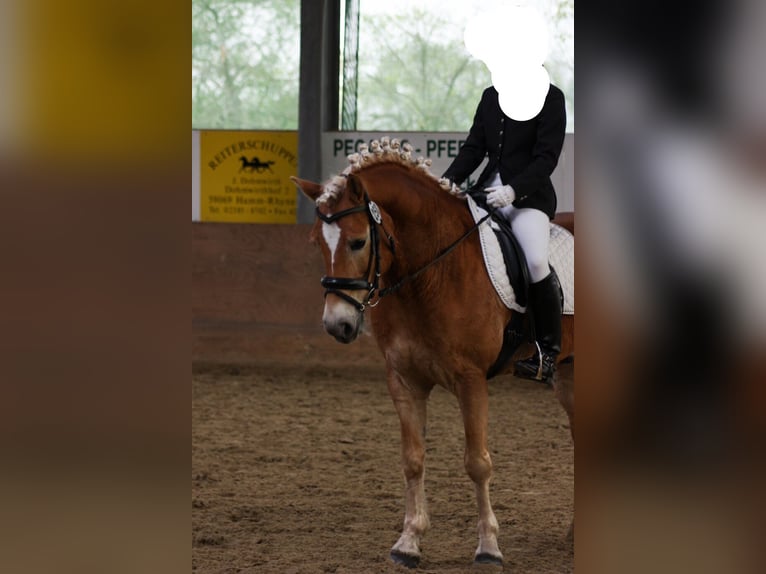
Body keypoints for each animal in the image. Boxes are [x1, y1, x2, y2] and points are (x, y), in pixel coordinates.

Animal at [291, 138, 574, 567]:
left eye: (358, 241)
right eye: (317, 244)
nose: (337, 325)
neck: (428, 273)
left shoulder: (471, 381)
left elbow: (477, 463)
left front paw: (488, 547)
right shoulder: (404, 380)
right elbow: (413, 459)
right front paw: (408, 542)